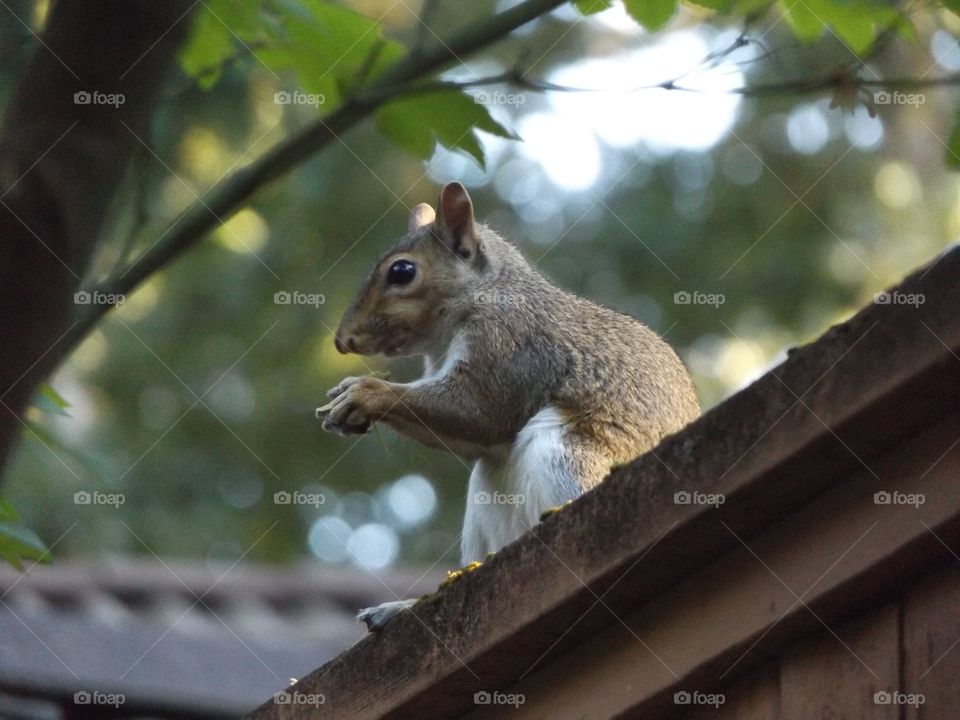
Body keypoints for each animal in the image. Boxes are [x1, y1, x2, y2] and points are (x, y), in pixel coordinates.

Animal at [318, 182, 700, 630]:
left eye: (402, 272)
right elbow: (474, 435)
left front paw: (366, 392)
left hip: (565, 453)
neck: (484, 294)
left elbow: (481, 411)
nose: (343, 340)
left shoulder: (510, 344)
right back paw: (407, 606)